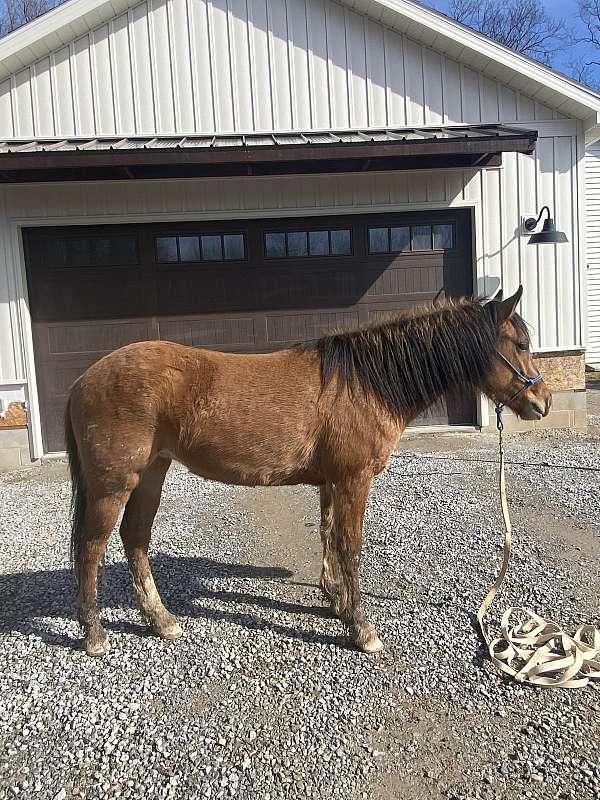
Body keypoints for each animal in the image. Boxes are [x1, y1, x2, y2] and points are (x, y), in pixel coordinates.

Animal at [65, 285, 551, 657]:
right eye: (521, 345)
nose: (542, 402)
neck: (365, 383)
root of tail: (84, 379)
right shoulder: (354, 479)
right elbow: (350, 546)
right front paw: (361, 627)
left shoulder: (331, 481)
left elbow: (328, 536)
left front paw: (335, 599)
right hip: (114, 484)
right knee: (91, 548)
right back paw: (95, 636)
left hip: (151, 473)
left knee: (135, 539)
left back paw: (162, 620)